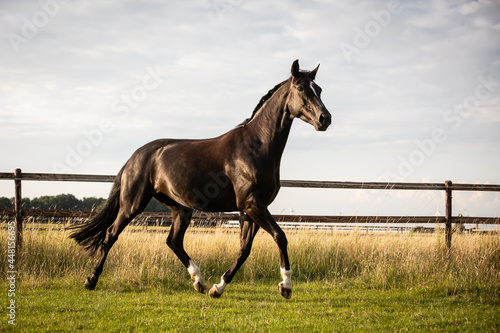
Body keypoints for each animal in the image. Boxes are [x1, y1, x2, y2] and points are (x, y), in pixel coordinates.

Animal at [67, 59, 332, 298]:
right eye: (300, 88)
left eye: (318, 89)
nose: (325, 119)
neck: (255, 146)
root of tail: (137, 155)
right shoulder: (250, 203)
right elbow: (280, 236)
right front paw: (286, 286)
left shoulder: (251, 209)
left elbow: (244, 250)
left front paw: (218, 288)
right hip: (133, 203)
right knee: (111, 234)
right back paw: (91, 280)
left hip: (181, 208)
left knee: (173, 241)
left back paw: (199, 281)